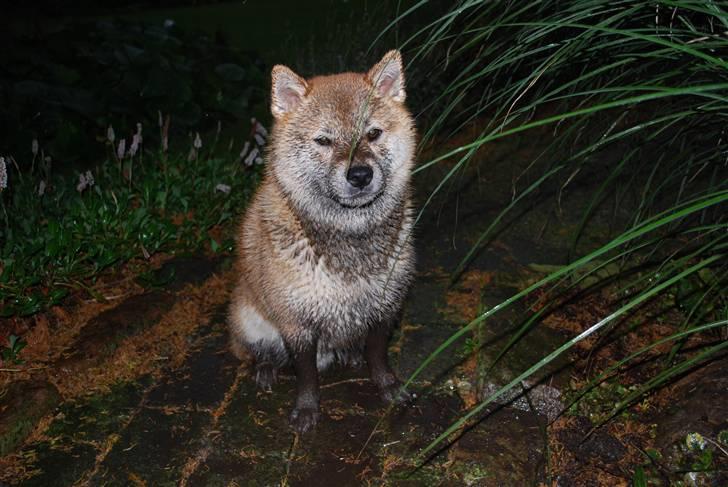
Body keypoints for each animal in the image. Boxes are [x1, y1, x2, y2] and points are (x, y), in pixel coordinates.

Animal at [228, 50, 416, 434]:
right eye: (324, 141)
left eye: (373, 133)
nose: (360, 175)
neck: (350, 247)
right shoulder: (296, 323)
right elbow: (306, 375)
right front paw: (307, 409)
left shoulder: (385, 308)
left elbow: (378, 357)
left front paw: (387, 386)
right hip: (249, 321)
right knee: (258, 352)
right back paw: (265, 368)